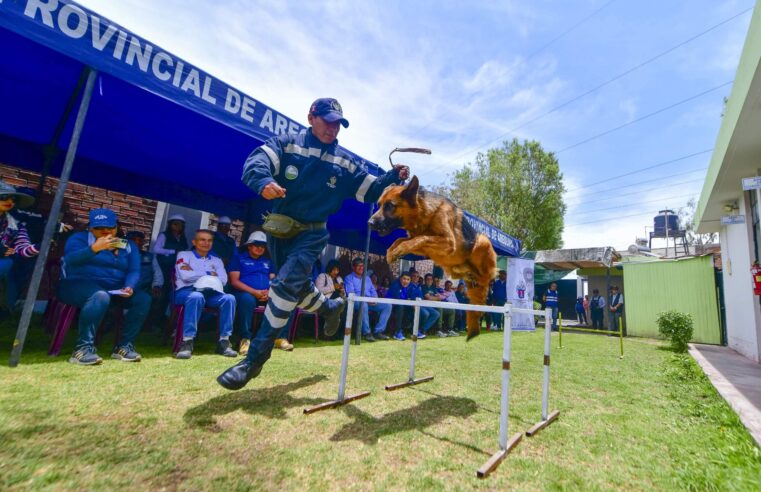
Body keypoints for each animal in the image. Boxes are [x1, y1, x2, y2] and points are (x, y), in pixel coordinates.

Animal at [370, 175, 498, 340]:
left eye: (390, 206)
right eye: (379, 205)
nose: (369, 223)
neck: (424, 212)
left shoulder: (448, 242)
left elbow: (421, 238)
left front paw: (397, 251)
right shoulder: (424, 248)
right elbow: (404, 239)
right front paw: (392, 251)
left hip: (482, 240)